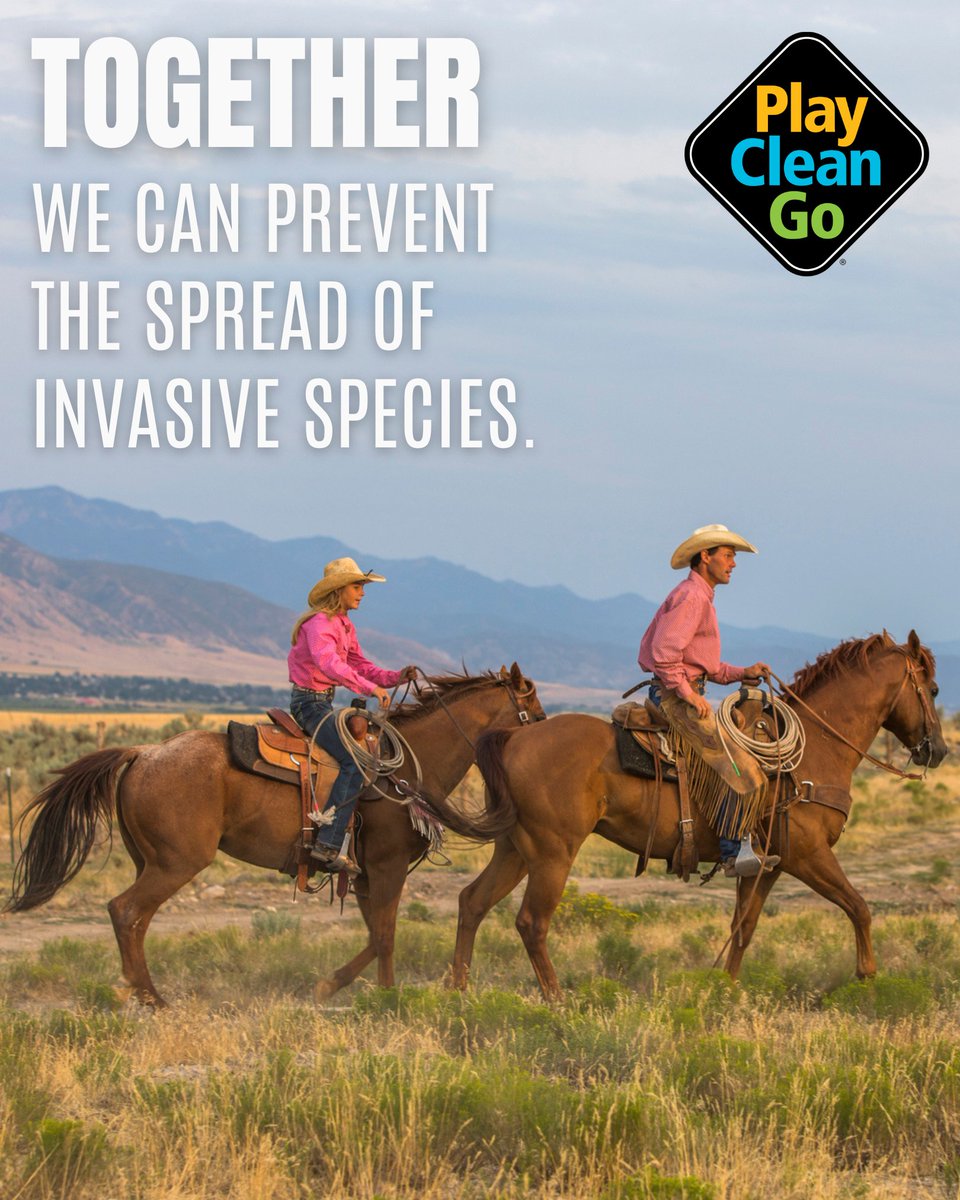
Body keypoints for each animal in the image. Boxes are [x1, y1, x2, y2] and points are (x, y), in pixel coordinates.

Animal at [4, 664, 544, 1006]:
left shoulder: (363, 875)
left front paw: (331, 987)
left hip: (150, 861)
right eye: (535, 713)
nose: (542, 737)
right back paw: (150, 996)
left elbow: (374, 935)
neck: (407, 768)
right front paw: (387, 999)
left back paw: (138, 989)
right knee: (126, 911)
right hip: (176, 863)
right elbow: (387, 936)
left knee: (133, 918)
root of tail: (144, 752)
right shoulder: (388, 867)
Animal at [450, 632, 947, 1001]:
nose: (939, 751)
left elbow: (743, 929)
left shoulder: (768, 865)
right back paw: (557, 1002)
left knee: (472, 901)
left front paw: (725, 990)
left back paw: (459, 992)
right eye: (935, 689)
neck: (814, 754)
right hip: (553, 853)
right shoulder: (808, 856)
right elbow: (859, 907)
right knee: (532, 923)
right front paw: (868, 977)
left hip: (515, 849)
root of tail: (513, 738)